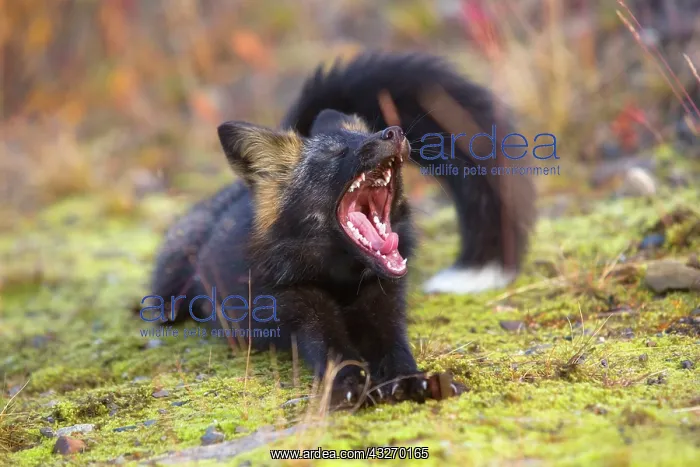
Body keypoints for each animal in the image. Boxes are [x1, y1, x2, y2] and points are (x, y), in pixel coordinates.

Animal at [148, 52, 536, 405]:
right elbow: (337, 354)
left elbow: (396, 351)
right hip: (173, 275)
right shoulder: (299, 309)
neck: (342, 283)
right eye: (335, 153)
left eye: (366, 135)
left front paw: (411, 381)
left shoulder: (385, 303)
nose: (393, 132)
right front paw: (353, 387)